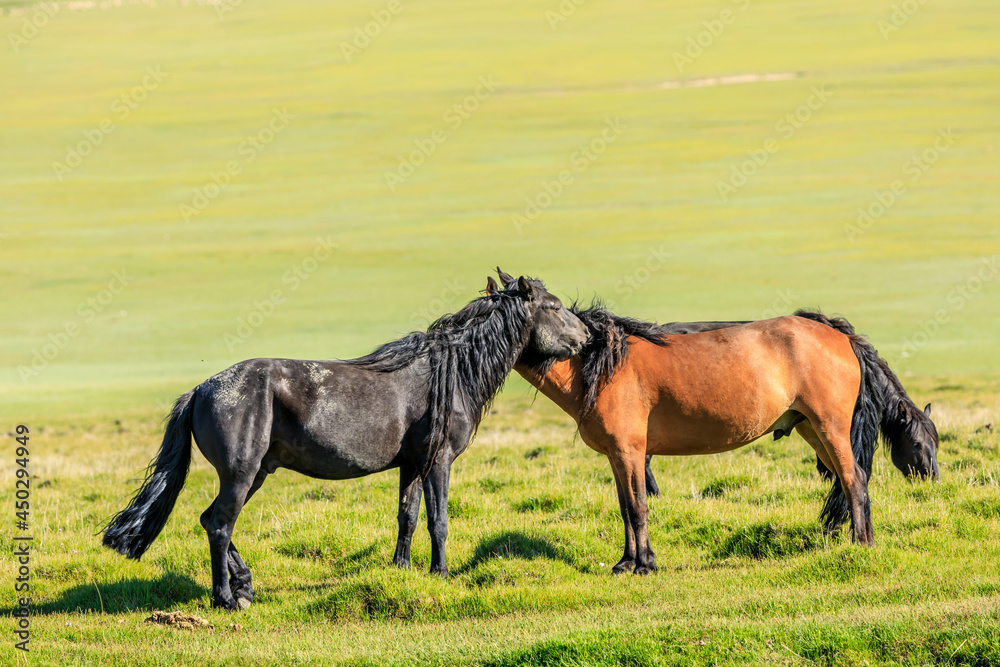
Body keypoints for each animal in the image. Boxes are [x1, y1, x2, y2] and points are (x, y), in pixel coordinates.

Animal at [103, 273, 589, 609]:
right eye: (553, 306)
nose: (585, 336)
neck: (448, 372)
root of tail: (202, 389)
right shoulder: (440, 462)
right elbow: (439, 521)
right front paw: (441, 573)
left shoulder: (412, 466)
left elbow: (408, 517)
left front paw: (401, 569)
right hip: (240, 475)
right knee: (221, 525)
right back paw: (227, 598)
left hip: (255, 474)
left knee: (211, 521)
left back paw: (245, 586)